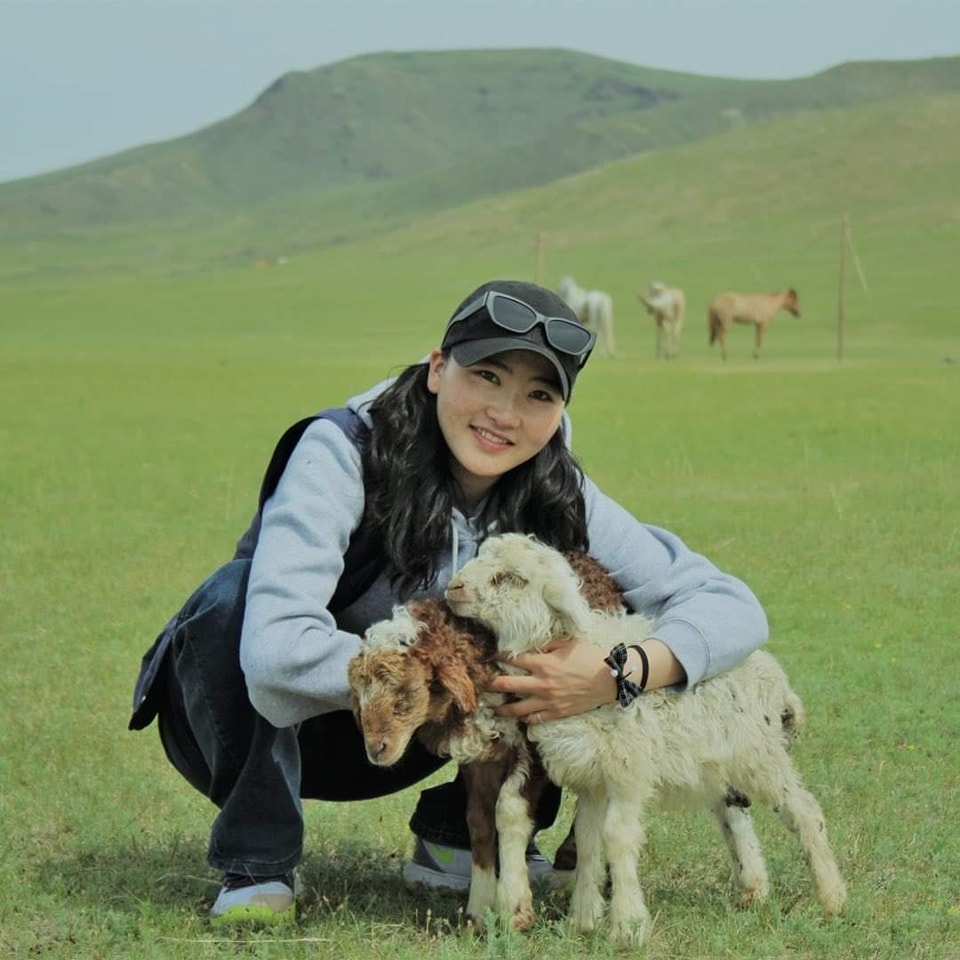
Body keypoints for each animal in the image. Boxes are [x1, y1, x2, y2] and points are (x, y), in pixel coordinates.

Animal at [347, 551, 626, 932]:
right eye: (358, 698)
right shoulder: (479, 753)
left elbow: (509, 811)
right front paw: (477, 911)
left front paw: (514, 908)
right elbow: (478, 821)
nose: (377, 751)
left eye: (407, 694)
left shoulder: (532, 739)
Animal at [445, 533, 846, 947]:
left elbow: (617, 836)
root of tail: (778, 681)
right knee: (734, 812)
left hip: (759, 755)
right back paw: (754, 889)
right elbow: (588, 840)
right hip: (715, 759)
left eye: (512, 578)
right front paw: (583, 921)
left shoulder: (627, 770)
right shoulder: (592, 776)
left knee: (804, 811)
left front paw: (627, 926)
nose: (453, 588)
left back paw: (832, 899)